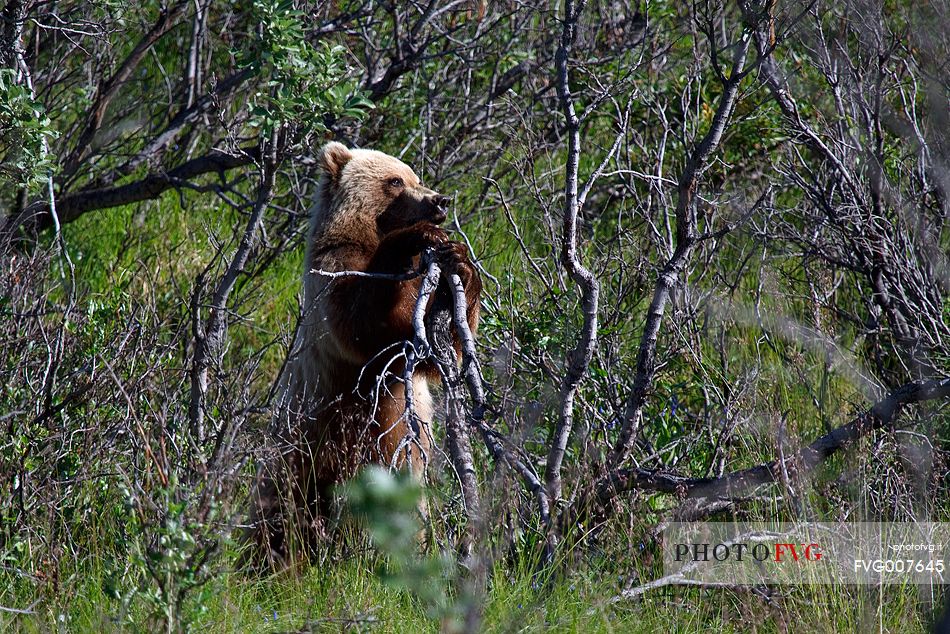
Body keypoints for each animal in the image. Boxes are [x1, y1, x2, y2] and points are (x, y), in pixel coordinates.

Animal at [245, 139, 484, 564]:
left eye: (415, 176)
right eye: (395, 181)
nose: (439, 200)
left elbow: (438, 352)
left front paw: (460, 260)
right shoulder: (333, 271)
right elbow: (358, 320)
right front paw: (414, 236)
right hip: (304, 448)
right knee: (281, 509)